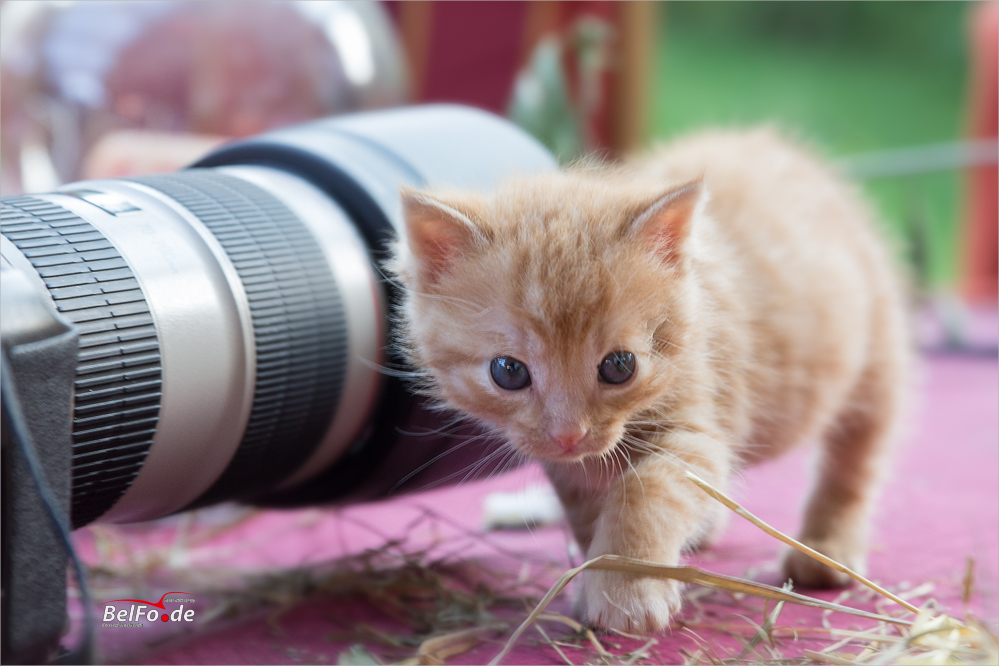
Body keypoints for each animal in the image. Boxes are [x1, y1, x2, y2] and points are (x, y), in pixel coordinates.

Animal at [384, 130, 916, 632]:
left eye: (619, 366)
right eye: (508, 372)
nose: (569, 433)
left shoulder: (698, 432)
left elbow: (647, 494)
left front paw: (626, 591)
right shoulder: (570, 467)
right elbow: (588, 512)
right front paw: (596, 575)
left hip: (877, 363)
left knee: (854, 463)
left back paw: (828, 548)